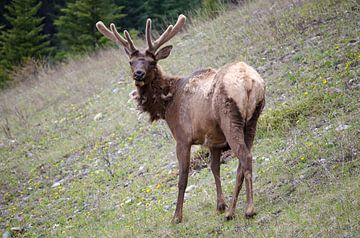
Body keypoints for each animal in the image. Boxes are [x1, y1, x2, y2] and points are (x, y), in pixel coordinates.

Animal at [95, 14, 264, 223]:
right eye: (131, 62)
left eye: (152, 62)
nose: (138, 74)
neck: (167, 105)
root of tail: (249, 82)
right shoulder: (213, 139)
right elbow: (214, 168)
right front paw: (220, 205)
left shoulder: (183, 138)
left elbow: (183, 177)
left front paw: (177, 216)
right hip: (252, 120)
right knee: (242, 161)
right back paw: (231, 210)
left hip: (230, 120)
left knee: (245, 156)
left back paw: (248, 209)